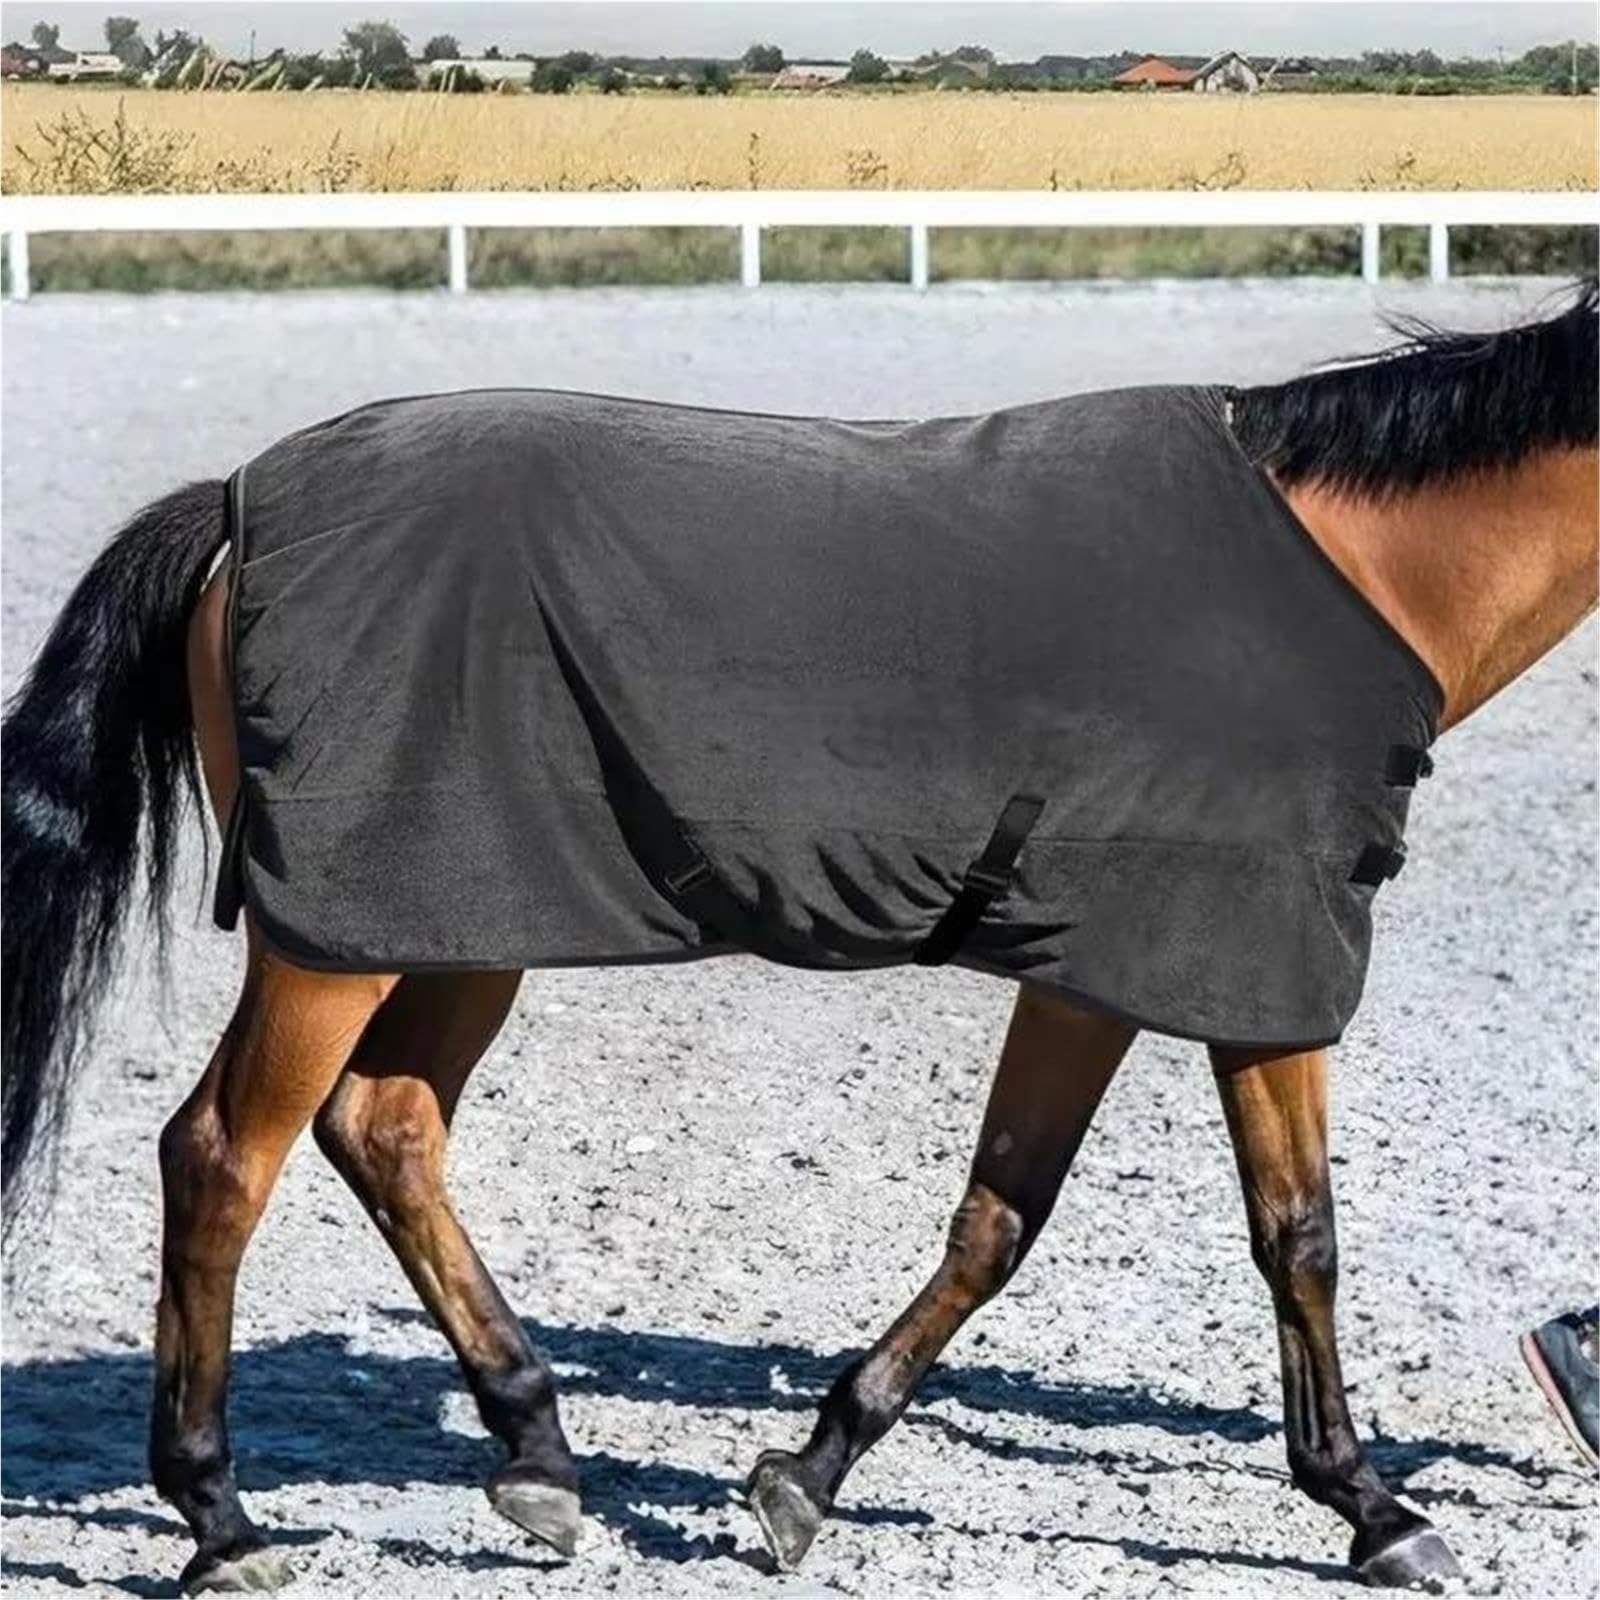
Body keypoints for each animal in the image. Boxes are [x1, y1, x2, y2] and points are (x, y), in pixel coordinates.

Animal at [3, 281, 1595, 1596]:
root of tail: (241, 502)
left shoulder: (1099, 971)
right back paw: (221, 1521)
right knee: (222, 1158)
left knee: (384, 1130)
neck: (1342, 572)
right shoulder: (1254, 963)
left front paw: (807, 1474)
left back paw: (537, 1452)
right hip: (334, 942)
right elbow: (1297, 1234)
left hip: (456, 920)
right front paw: (1375, 1508)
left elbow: (1006, 1214)